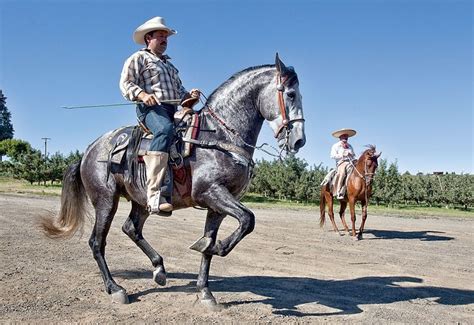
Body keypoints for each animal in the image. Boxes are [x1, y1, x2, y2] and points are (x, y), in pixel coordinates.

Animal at [42, 54, 306, 308]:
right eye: (291, 94)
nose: (299, 140)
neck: (219, 137)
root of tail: (89, 151)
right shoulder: (211, 193)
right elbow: (248, 219)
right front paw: (214, 247)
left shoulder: (218, 205)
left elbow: (217, 239)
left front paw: (205, 290)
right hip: (106, 200)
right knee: (97, 242)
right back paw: (116, 289)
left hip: (142, 201)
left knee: (131, 228)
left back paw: (159, 268)